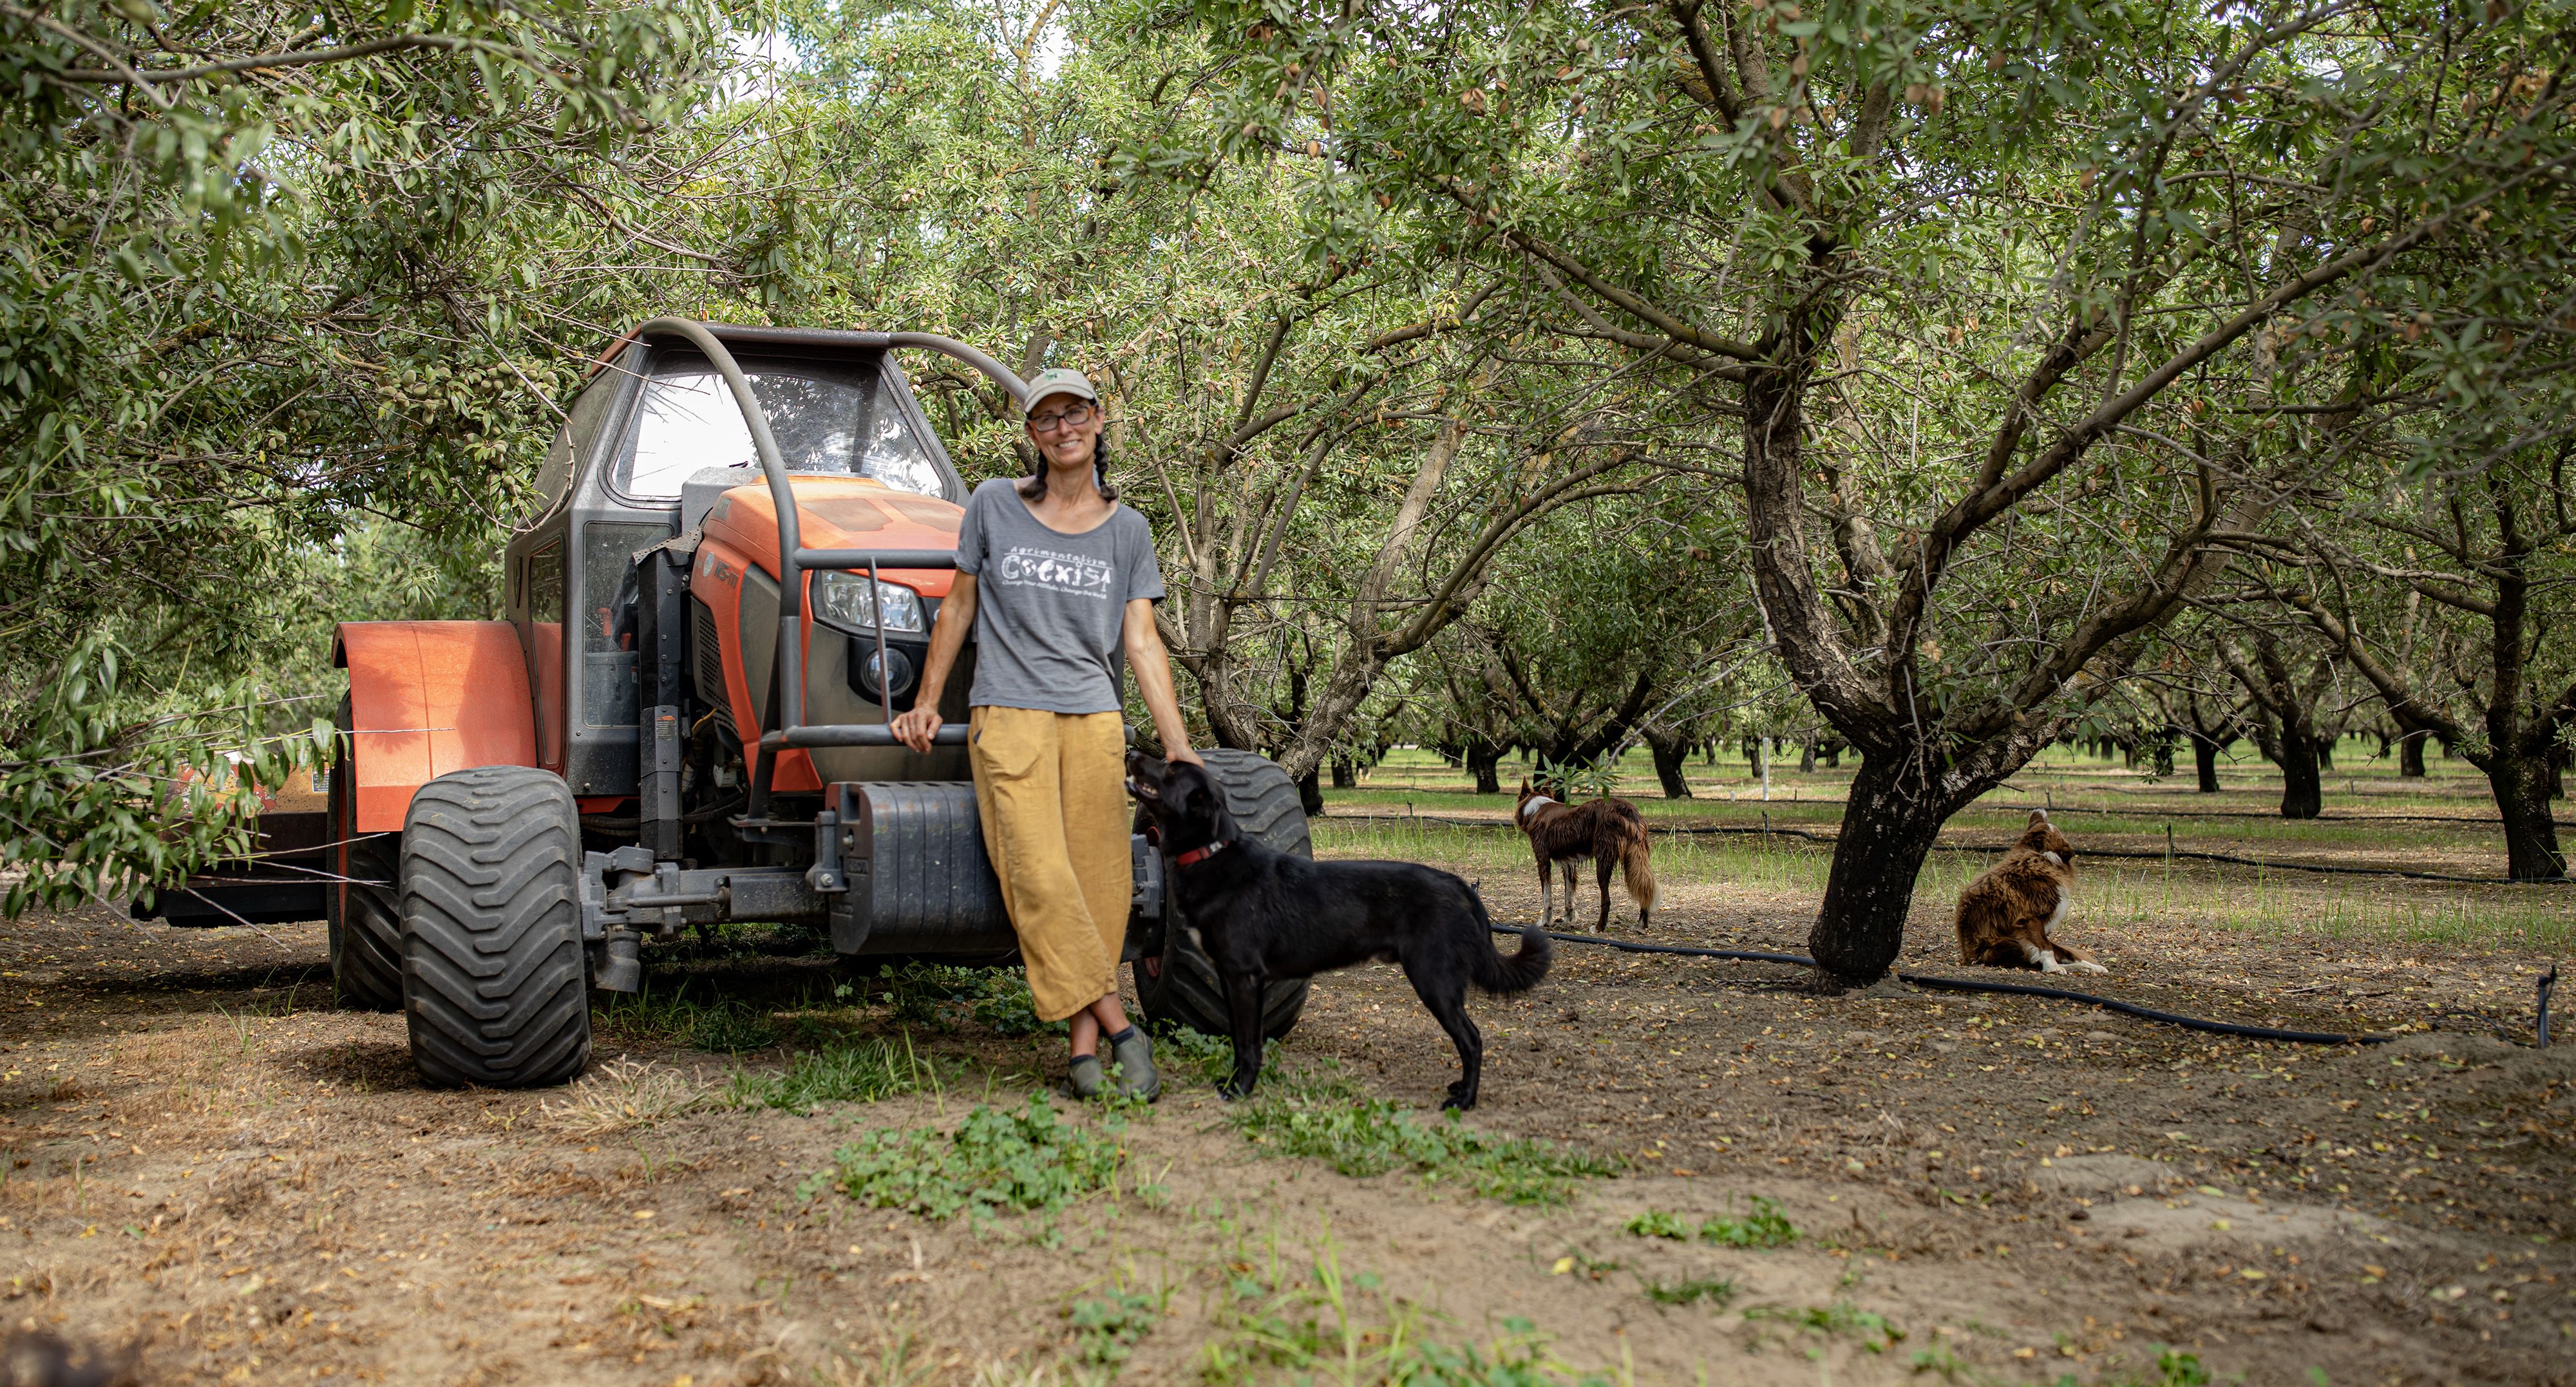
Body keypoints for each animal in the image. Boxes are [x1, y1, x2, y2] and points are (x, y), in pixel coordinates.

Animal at [1128, 753, 1546, 1108]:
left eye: (1169, 768)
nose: (1131, 754)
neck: (1213, 854)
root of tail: (1458, 884)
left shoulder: (1242, 977)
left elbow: (1246, 1044)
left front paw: (1240, 1090)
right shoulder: (1238, 981)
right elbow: (1242, 1039)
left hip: (1434, 980)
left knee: (1472, 1040)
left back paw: (1465, 1100)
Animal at [1504, 778, 1659, 928]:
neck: (1537, 809)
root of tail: (1625, 809)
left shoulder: (1543, 861)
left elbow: (1547, 898)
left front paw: (1546, 922)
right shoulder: (1569, 864)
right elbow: (1569, 896)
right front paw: (1569, 919)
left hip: (1603, 862)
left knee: (1607, 900)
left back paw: (1599, 927)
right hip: (1638, 857)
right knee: (1646, 889)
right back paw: (1641, 924)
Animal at [1958, 799, 2102, 969]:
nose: (2039, 808)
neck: (2039, 858)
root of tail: (1966, 956)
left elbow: (2061, 951)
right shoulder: (2031, 918)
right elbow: (2045, 948)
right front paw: (2052, 968)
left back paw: (2088, 967)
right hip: (2006, 943)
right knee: (2033, 960)